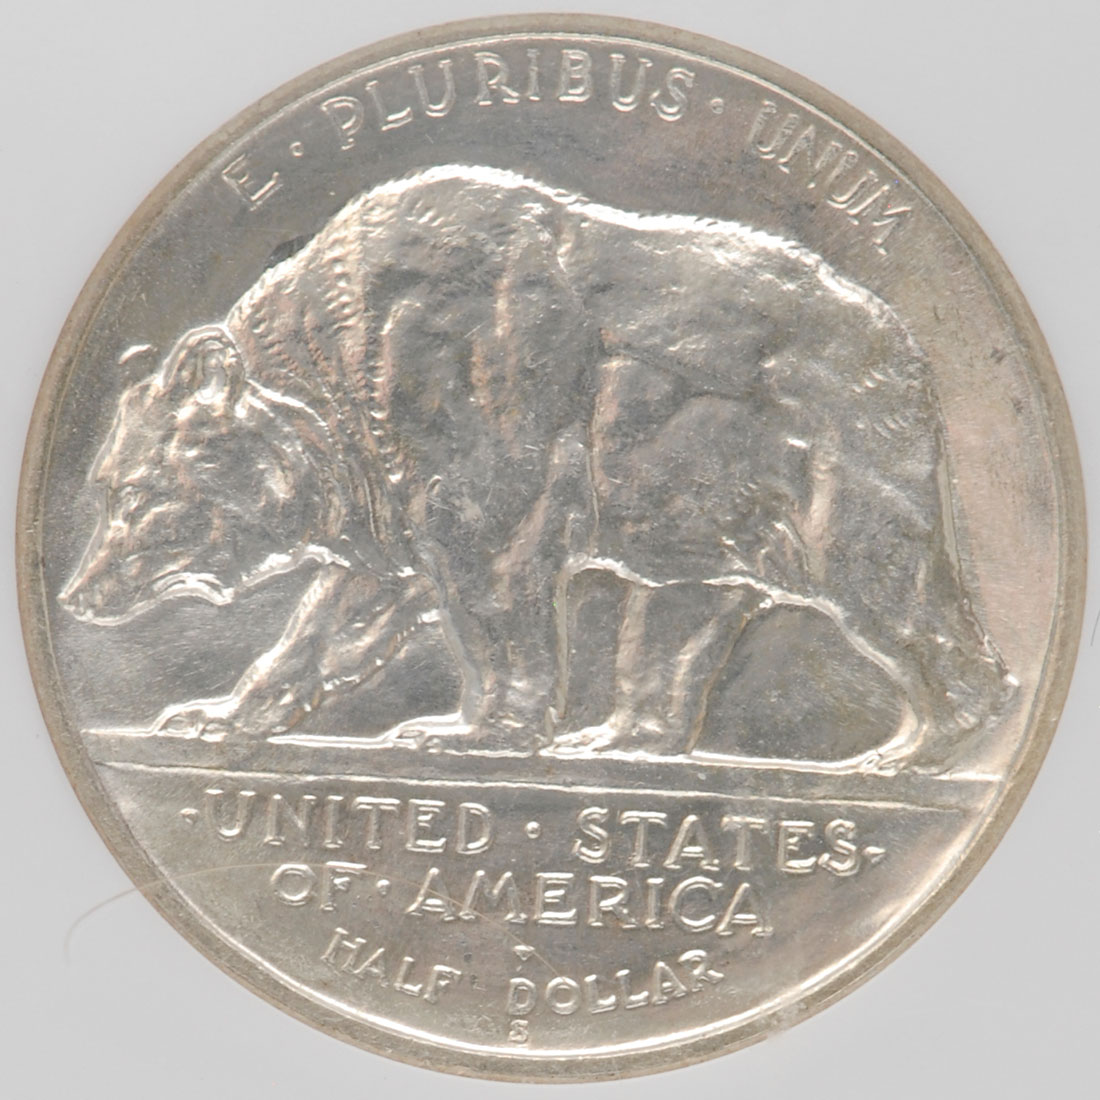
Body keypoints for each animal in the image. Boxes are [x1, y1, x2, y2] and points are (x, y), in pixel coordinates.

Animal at [60, 165, 1013, 770]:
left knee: (887, 585)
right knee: (672, 619)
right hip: (693, 510)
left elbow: (493, 591)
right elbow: (328, 622)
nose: (75, 593)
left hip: (824, 478)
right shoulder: (384, 497)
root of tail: (905, 345)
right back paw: (624, 735)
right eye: (105, 490)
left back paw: (913, 747)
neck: (333, 400)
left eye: (134, 492)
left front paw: (471, 729)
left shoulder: (483, 451)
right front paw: (215, 714)